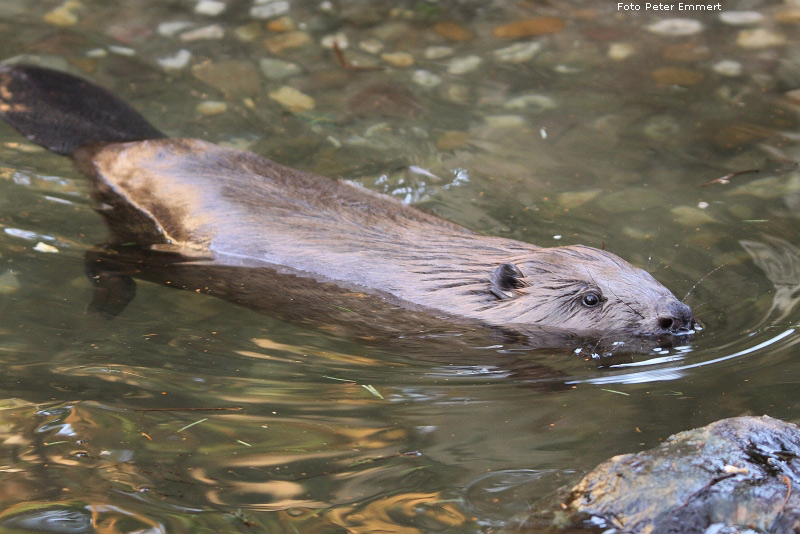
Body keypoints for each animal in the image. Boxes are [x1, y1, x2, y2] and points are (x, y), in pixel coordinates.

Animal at [0, 65, 692, 344]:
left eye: (645, 273)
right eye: (591, 298)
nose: (676, 317)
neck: (458, 277)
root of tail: (108, 143)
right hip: (159, 248)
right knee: (106, 255)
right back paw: (106, 303)